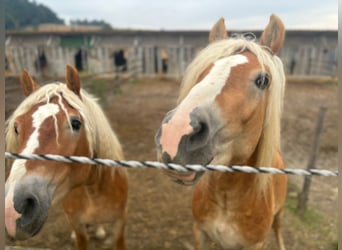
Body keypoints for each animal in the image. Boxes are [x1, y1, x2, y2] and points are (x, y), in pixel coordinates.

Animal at [5, 65, 128, 250]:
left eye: (75, 123)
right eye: (16, 127)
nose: (13, 209)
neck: (93, 192)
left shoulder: (120, 224)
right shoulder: (78, 226)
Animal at [156, 14, 288, 250]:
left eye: (262, 80)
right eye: (204, 72)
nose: (175, 134)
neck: (228, 197)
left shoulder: (256, 244)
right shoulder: (199, 231)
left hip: (279, 214)